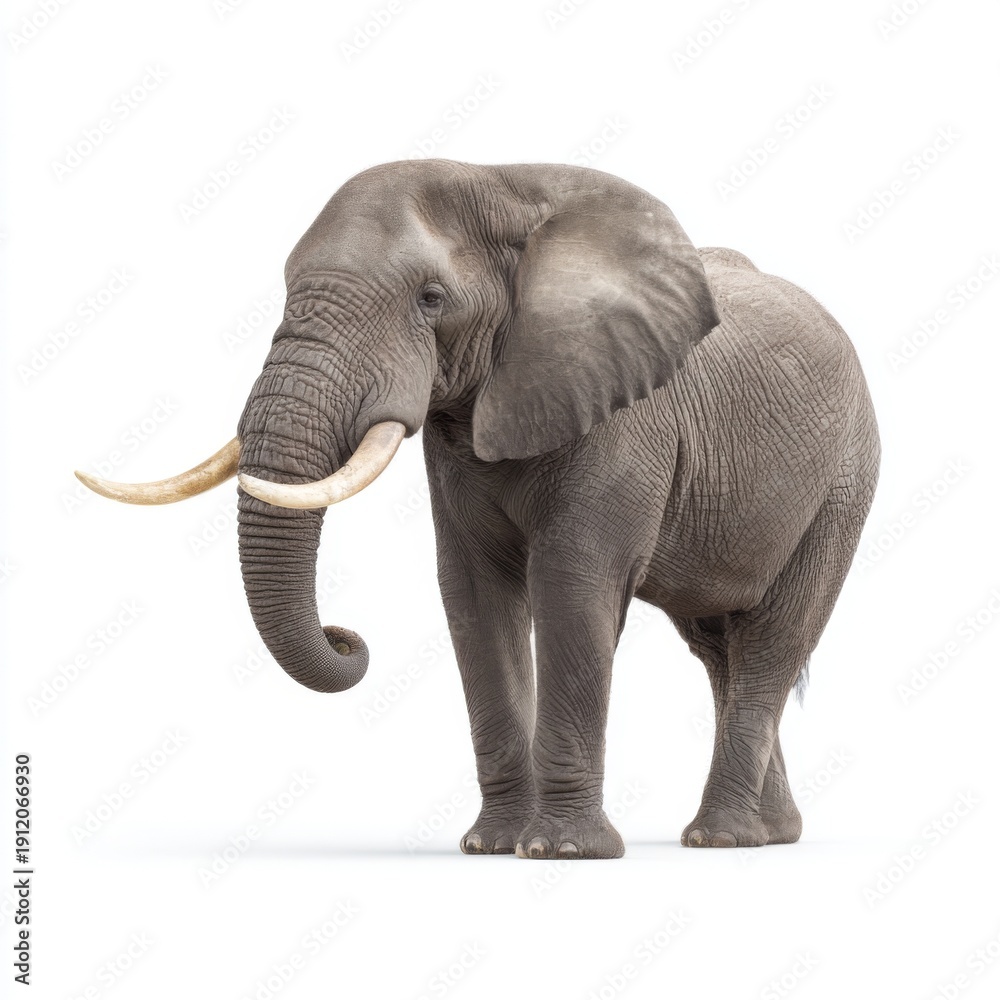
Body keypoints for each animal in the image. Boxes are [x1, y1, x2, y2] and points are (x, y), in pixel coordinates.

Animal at [77, 159, 880, 859]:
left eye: (431, 299)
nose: (347, 638)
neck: (504, 185)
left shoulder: (623, 413)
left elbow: (572, 588)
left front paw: (561, 852)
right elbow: (472, 595)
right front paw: (492, 847)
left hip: (846, 481)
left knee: (774, 639)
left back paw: (722, 839)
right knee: (720, 648)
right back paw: (770, 834)